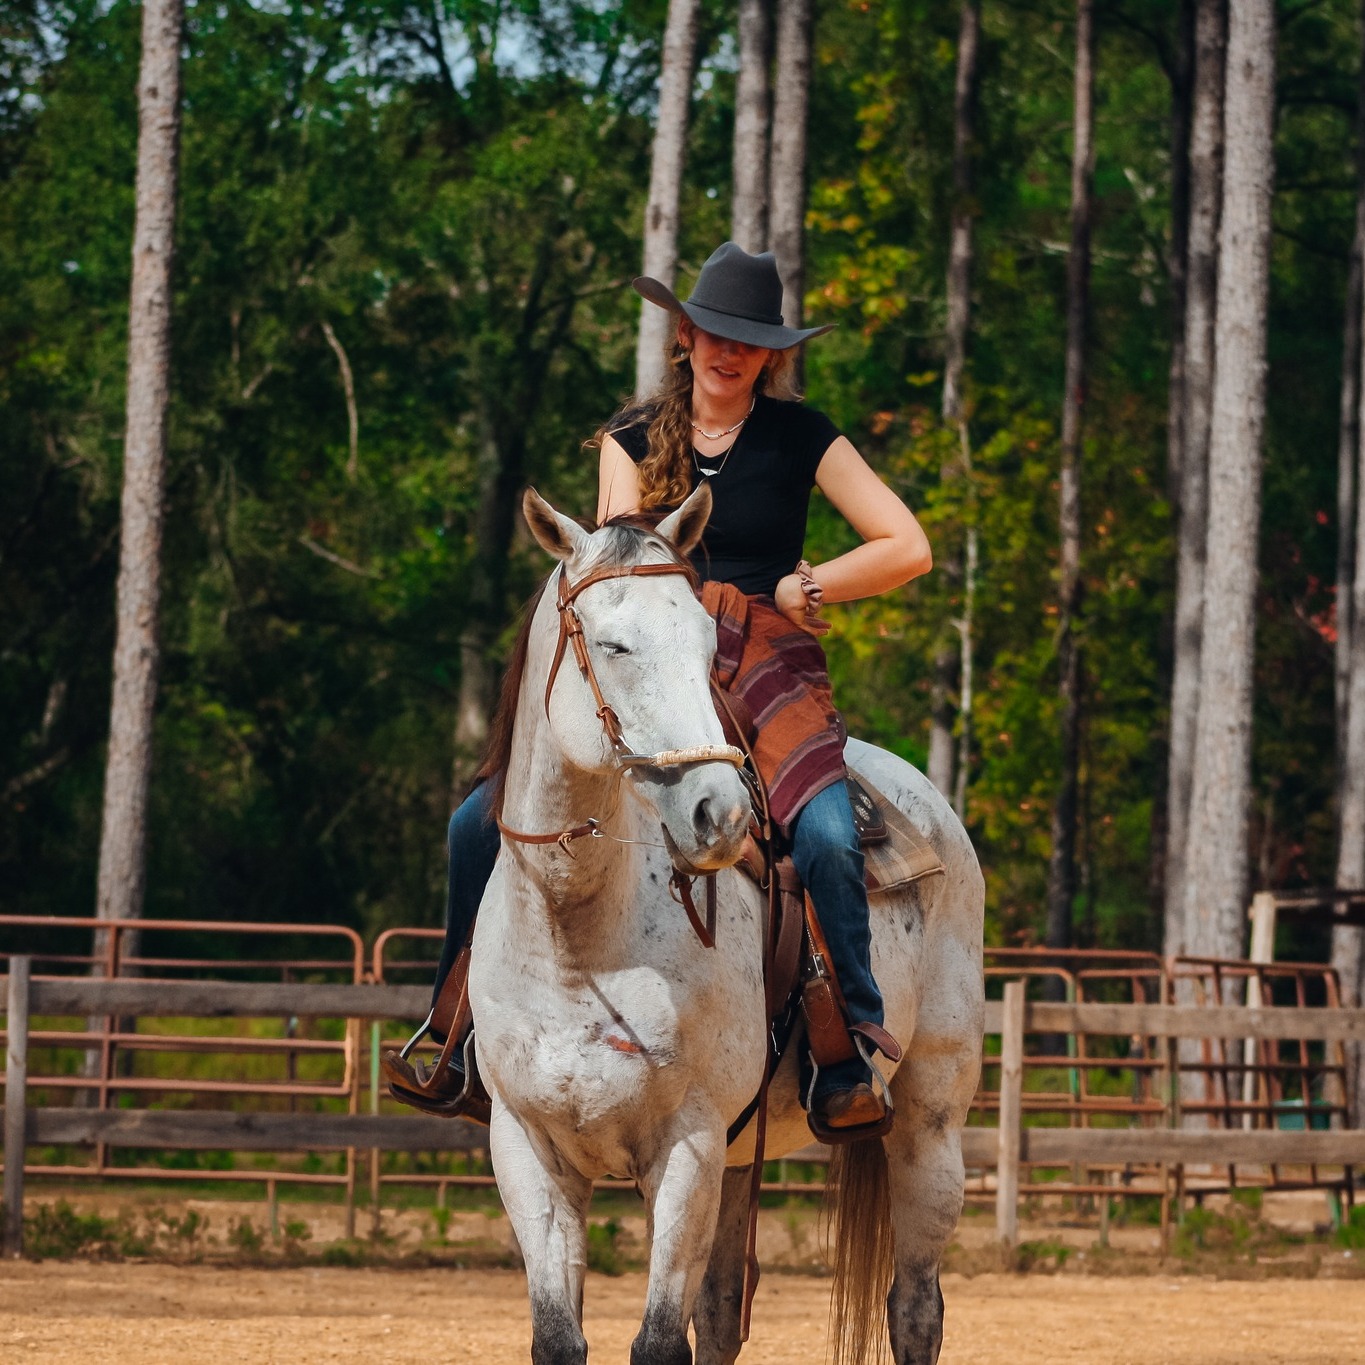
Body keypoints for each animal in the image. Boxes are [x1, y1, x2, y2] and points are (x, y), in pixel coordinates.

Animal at [470, 484, 985, 1365]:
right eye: (612, 644)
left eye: (707, 643)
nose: (721, 812)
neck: (577, 943)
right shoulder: (529, 1149)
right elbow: (561, 1337)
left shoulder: (688, 1145)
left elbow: (657, 1341)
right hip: (745, 1158)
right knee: (720, 1312)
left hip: (927, 1123)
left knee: (915, 1306)